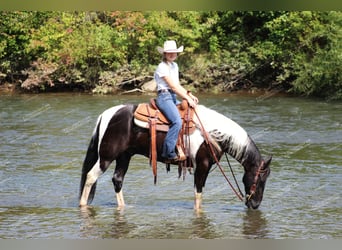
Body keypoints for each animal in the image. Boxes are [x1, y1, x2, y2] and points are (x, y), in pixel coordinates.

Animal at [79, 102, 272, 210]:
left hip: (124, 156)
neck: (212, 133)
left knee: (117, 179)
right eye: (261, 179)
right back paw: (82, 205)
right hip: (106, 156)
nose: (255, 205)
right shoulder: (202, 165)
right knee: (90, 176)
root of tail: (106, 115)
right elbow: (198, 194)